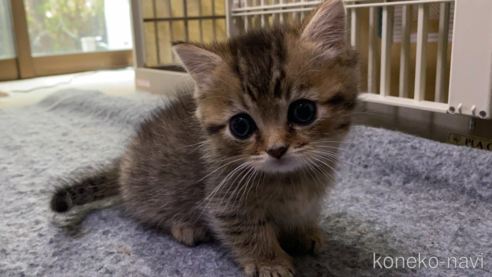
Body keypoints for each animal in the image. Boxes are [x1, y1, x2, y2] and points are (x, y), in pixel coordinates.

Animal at [49, 1, 358, 274]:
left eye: (303, 111)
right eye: (241, 126)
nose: (277, 149)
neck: (291, 179)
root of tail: (123, 164)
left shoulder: (308, 199)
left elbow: (302, 215)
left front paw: (304, 233)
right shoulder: (224, 199)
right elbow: (247, 231)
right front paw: (269, 262)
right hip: (155, 192)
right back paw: (185, 227)